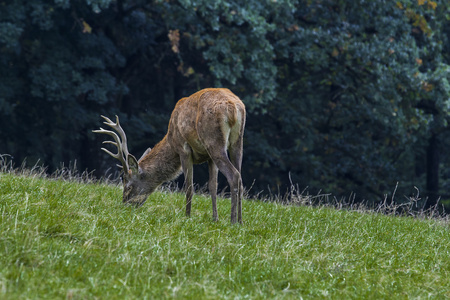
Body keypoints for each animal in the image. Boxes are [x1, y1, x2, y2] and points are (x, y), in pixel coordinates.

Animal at [92, 88, 246, 224]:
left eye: (128, 185)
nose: (125, 205)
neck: (171, 140)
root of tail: (234, 108)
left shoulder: (183, 149)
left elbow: (189, 187)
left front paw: (187, 217)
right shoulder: (208, 157)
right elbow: (213, 186)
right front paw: (215, 219)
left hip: (213, 141)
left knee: (234, 175)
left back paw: (233, 221)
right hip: (236, 143)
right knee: (240, 175)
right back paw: (240, 221)